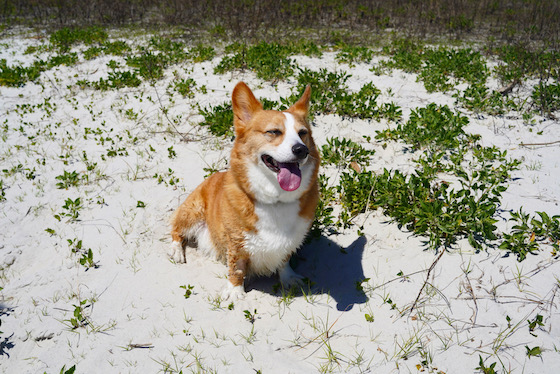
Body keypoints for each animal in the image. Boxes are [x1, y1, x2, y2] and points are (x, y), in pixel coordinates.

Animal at [168, 82, 320, 300]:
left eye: (303, 133)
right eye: (274, 132)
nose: (301, 150)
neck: (276, 200)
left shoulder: (290, 242)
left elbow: (284, 260)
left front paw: (288, 278)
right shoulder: (236, 243)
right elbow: (237, 268)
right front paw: (234, 291)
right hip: (192, 212)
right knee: (175, 230)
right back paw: (176, 251)